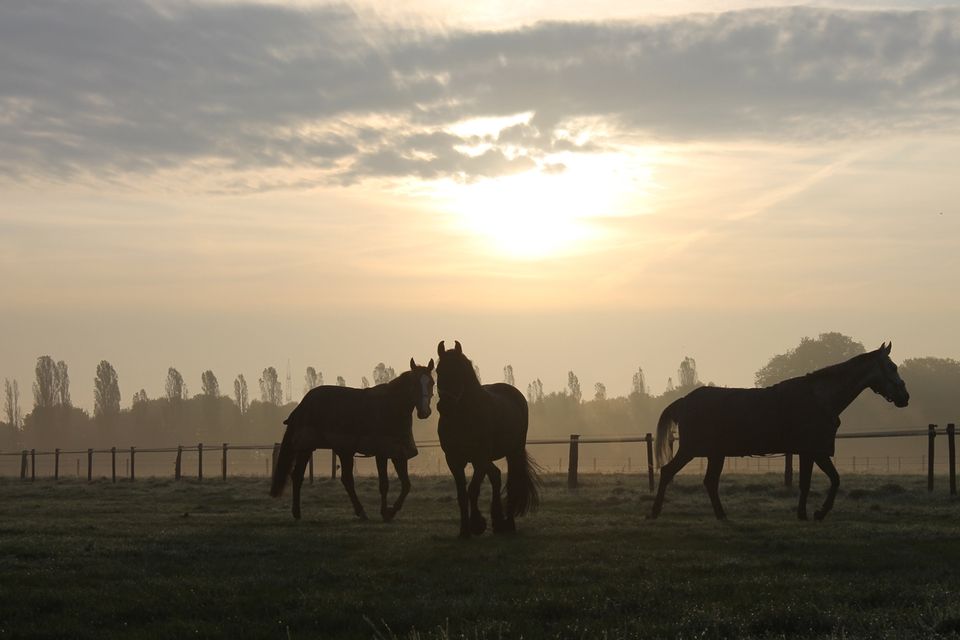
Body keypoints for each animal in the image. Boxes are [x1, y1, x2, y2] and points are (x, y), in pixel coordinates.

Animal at [270, 358, 436, 524]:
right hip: (307, 447)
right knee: (300, 476)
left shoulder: (399, 452)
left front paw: (391, 511)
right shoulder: (381, 453)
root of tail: (302, 405)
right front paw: (385, 512)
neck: (391, 407)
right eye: (414, 384)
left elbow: (406, 485)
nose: (424, 412)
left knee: (343, 479)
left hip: (342, 450)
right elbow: (384, 484)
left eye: (432, 382)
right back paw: (300, 513)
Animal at [436, 342, 540, 536]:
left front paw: (477, 524)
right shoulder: (454, 460)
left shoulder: (480, 458)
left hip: (512, 453)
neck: (463, 417)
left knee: (512, 483)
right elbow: (462, 494)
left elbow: (473, 490)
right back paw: (498, 521)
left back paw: (509, 524)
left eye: (459, 371)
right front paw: (464, 531)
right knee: (496, 476)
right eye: (438, 370)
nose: (445, 406)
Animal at [648, 344, 912, 520]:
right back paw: (655, 511)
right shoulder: (813, 450)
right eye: (891, 366)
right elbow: (824, 481)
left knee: (709, 482)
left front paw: (808, 513)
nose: (905, 397)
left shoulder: (812, 452)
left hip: (715, 454)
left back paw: (721, 515)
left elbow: (819, 481)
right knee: (668, 472)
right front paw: (816, 512)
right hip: (692, 450)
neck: (819, 398)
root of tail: (684, 401)